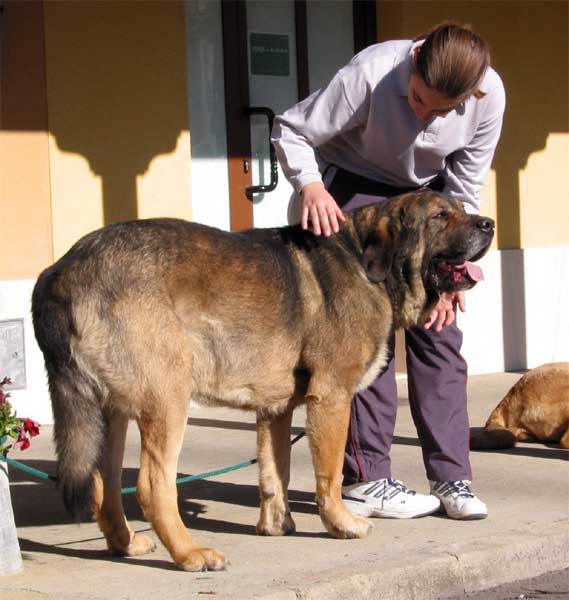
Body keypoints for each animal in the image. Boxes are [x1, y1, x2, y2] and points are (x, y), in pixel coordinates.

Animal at [31, 192, 492, 572]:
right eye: (440, 216)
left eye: (461, 209)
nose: (488, 223)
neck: (365, 261)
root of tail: (61, 272)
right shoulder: (332, 398)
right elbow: (329, 477)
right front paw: (341, 524)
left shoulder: (275, 409)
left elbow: (275, 474)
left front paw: (276, 525)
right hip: (168, 399)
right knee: (150, 486)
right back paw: (190, 553)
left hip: (112, 412)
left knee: (103, 484)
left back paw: (126, 544)